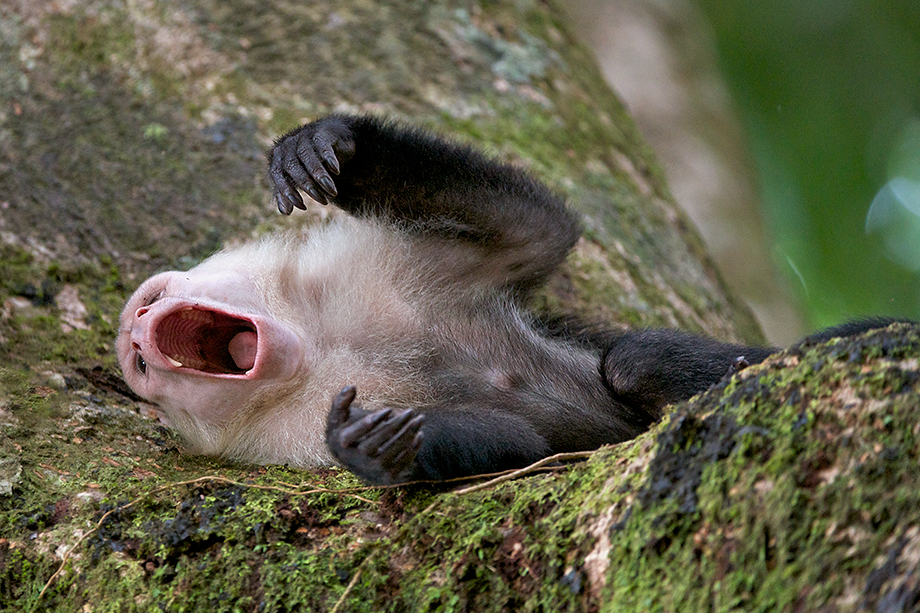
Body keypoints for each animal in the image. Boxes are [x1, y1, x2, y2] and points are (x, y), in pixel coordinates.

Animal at [115, 113, 904, 482]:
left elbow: (537, 230)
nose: (136, 333)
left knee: (635, 359)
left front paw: (324, 143)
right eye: (144, 370)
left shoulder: (366, 265)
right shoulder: (283, 439)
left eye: (153, 299)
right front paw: (368, 448)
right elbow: (521, 444)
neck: (315, 342)